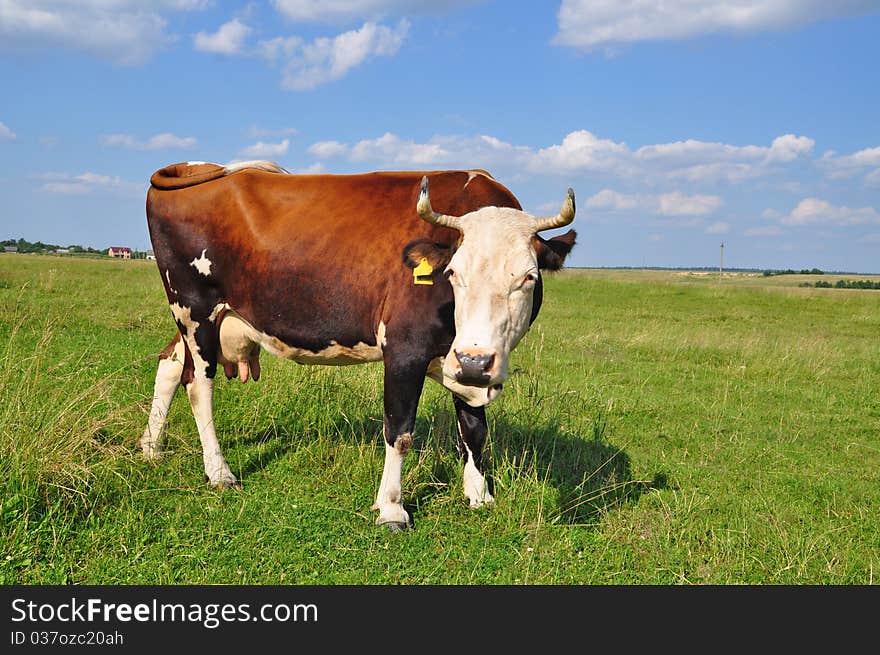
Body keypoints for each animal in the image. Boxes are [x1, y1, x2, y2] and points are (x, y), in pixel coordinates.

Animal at [139, 161, 576, 532]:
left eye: (529, 277)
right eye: (453, 272)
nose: (475, 361)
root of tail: (201, 169)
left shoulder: (462, 357)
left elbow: (474, 429)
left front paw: (479, 493)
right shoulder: (405, 349)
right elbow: (399, 432)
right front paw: (392, 508)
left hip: (203, 321)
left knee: (170, 364)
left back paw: (151, 448)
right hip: (194, 310)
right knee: (199, 384)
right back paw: (219, 472)